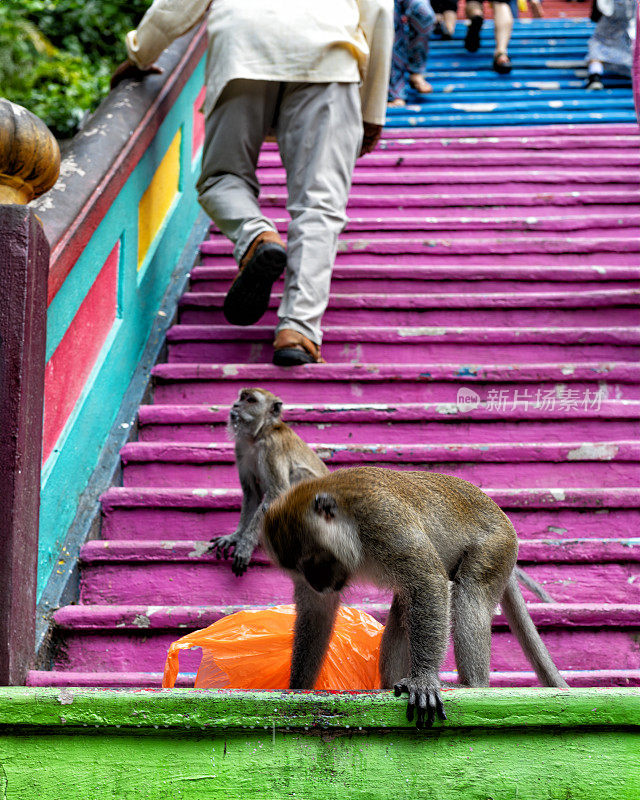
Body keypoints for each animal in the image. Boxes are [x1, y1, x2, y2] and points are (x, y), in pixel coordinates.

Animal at [210, 388, 330, 576]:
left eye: (250, 400)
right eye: (241, 397)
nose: (235, 405)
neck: (258, 435)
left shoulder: (272, 446)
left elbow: (277, 491)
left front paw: (245, 545)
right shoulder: (240, 447)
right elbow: (251, 494)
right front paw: (235, 537)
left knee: (297, 476)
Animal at [262, 466, 568, 728]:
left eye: (313, 562)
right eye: (300, 571)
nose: (317, 584)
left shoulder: (382, 520)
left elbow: (427, 580)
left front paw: (423, 681)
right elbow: (317, 611)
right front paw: (297, 687)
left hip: (496, 547)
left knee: (470, 590)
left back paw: (472, 684)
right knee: (403, 609)